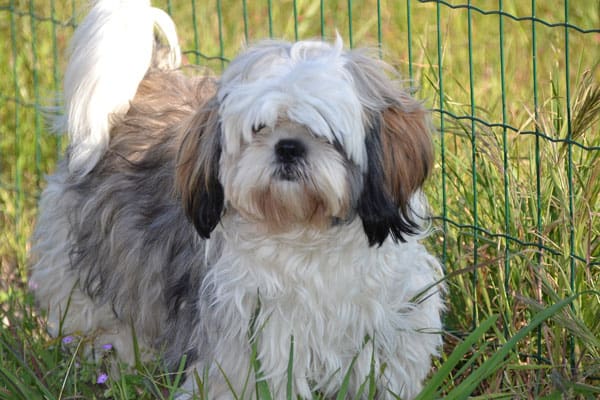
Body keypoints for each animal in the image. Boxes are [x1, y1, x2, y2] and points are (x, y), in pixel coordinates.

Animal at [31, 1, 446, 398]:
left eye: (323, 132)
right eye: (259, 128)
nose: (288, 147)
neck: (305, 232)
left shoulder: (390, 324)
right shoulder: (257, 338)